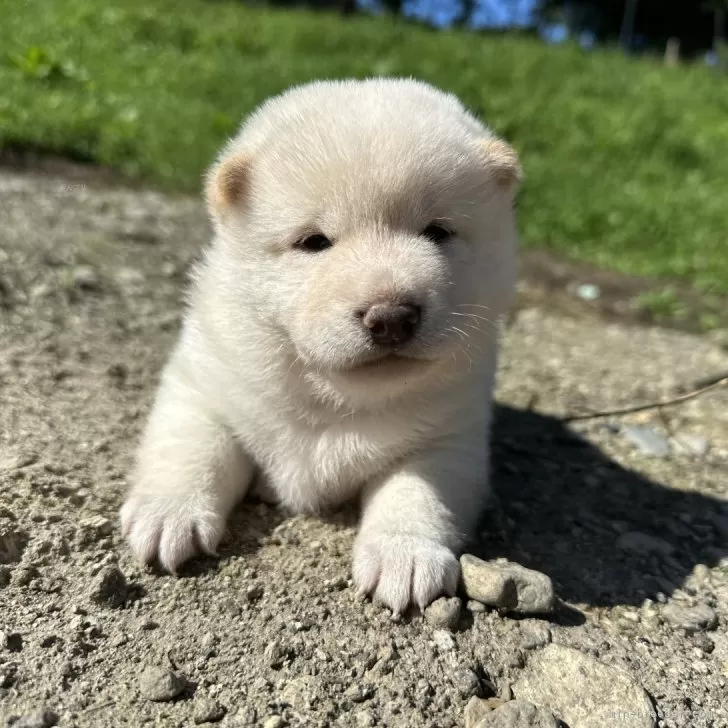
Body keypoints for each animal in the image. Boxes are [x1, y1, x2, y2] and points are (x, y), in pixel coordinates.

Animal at [122, 78, 524, 616]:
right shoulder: (204, 381)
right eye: (314, 242)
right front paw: (168, 514)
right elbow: (193, 444)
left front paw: (404, 556)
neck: (332, 396)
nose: (391, 316)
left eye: (438, 231)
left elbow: (418, 489)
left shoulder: (451, 436)